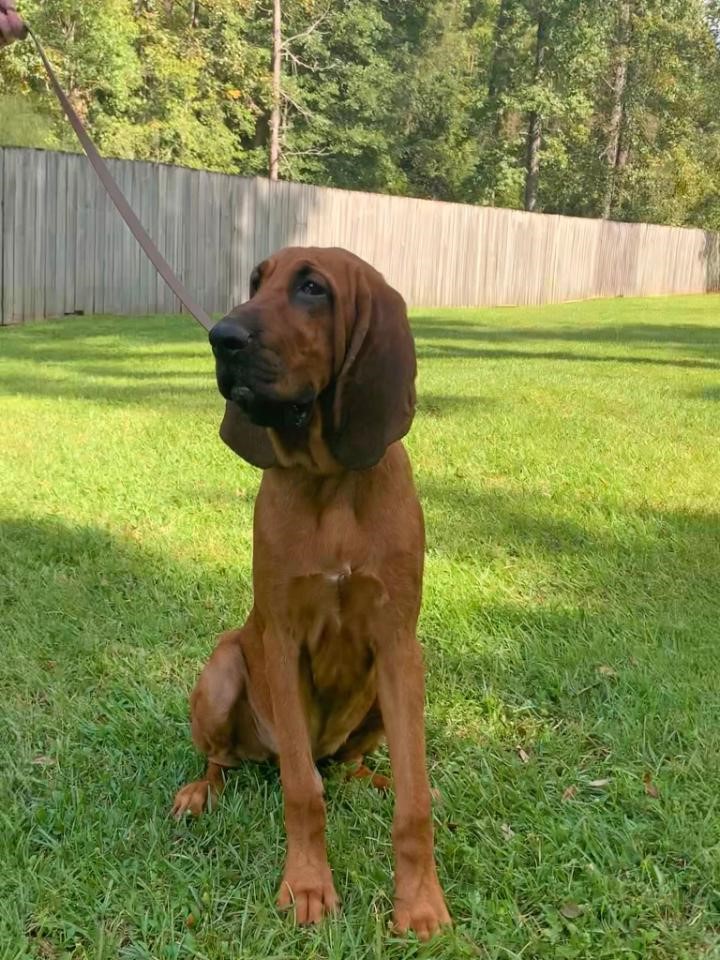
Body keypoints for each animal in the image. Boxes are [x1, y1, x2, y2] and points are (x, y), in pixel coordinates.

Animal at [172, 246, 448, 936]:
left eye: (312, 289)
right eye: (255, 283)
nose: (222, 337)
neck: (331, 484)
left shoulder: (398, 644)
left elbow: (415, 803)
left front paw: (420, 903)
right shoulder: (284, 643)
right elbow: (302, 791)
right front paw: (306, 887)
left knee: (349, 768)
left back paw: (371, 779)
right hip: (223, 670)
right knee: (230, 761)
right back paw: (199, 792)